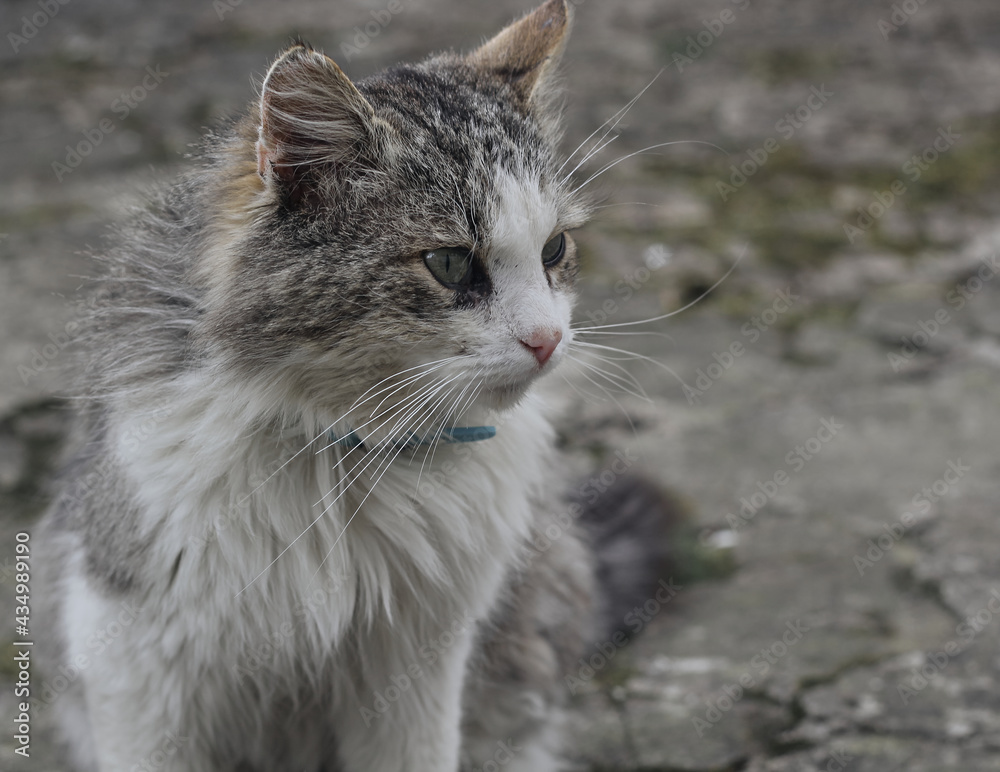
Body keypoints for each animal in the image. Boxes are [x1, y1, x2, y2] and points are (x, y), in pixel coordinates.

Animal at [39, 3, 676, 768]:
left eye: (554, 250)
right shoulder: (131, 654)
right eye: (449, 263)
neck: (344, 457)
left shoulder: (419, 663)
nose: (548, 340)